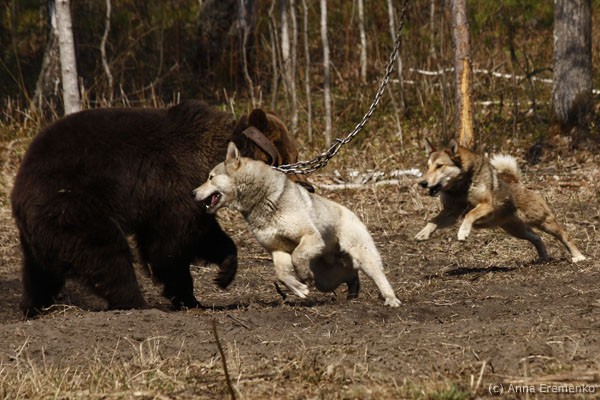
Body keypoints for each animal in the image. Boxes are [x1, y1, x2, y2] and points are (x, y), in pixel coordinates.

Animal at [11, 100, 308, 317]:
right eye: (293, 157)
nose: (308, 186)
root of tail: (19, 186)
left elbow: (206, 236)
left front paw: (224, 272)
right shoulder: (173, 189)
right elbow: (171, 245)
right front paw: (188, 297)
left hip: (45, 227)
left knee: (39, 271)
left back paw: (32, 307)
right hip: (72, 206)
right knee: (107, 253)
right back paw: (135, 302)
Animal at [193, 142, 401, 307]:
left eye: (210, 177)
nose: (193, 193)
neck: (262, 200)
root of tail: (350, 212)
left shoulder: (310, 237)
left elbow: (297, 256)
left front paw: (303, 276)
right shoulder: (277, 249)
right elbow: (281, 274)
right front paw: (299, 288)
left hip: (363, 255)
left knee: (378, 275)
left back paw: (391, 299)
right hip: (327, 278)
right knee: (349, 275)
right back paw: (352, 292)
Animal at [416, 138, 586, 263]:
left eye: (439, 166)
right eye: (428, 167)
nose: (422, 183)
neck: (461, 188)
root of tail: (518, 183)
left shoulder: (487, 206)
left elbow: (469, 214)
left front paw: (463, 232)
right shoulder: (450, 213)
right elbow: (433, 221)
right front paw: (423, 233)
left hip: (543, 221)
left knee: (564, 235)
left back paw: (578, 256)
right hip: (516, 229)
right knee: (537, 238)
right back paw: (543, 257)